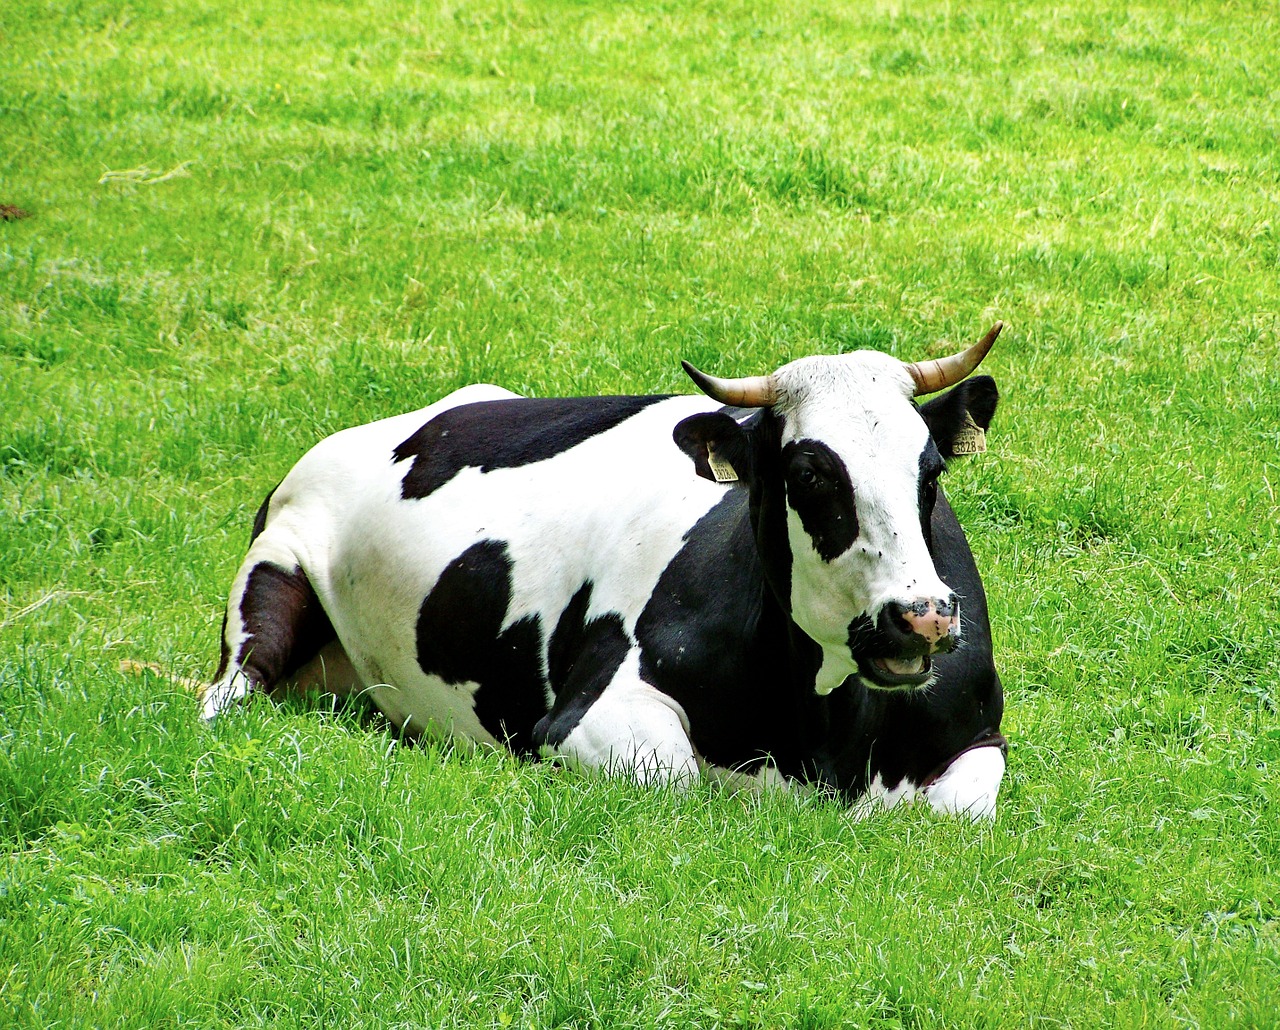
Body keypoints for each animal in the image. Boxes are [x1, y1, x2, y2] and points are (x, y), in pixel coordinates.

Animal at [202, 324, 1008, 813]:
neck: (826, 734)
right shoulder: (585, 714)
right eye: (809, 473)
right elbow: (678, 777)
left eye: (931, 471)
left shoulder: (980, 735)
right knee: (232, 685)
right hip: (278, 563)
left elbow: (956, 810)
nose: (920, 618)